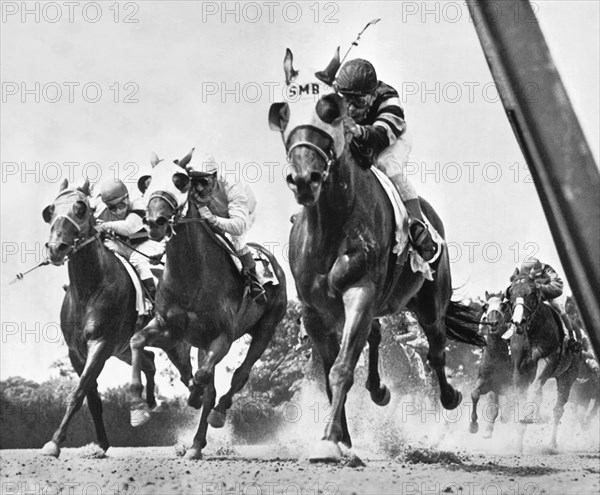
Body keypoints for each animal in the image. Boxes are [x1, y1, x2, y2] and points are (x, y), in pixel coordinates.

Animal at [41, 180, 192, 460]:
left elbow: (78, 392)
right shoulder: (76, 352)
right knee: (149, 360)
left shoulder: (100, 344)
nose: (56, 248)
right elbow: (92, 399)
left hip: (176, 347)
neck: (89, 289)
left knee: (190, 379)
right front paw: (101, 444)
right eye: (50, 210)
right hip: (123, 350)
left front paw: (54, 442)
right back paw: (148, 405)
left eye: (80, 208)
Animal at [127, 152, 288, 462]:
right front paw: (138, 405)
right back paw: (195, 444)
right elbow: (137, 340)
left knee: (240, 375)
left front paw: (196, 397)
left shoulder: (222, 336)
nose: (155, 222)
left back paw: (216, 415)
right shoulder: (169, 328)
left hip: (266, 329)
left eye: (180, 180)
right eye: (147, 182)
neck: (191, 273)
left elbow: (203, 377)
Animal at [270, 48, 486, 464]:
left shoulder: (360, 291)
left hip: (429, 301)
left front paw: (329, 441)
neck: (331, 224)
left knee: (436, 349)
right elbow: (330, 373)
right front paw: (341, 438)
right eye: (282, 111)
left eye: (331, 108)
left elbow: (341, 369)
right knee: (376, 333)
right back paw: (379, 389)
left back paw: (449, 396)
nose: (304, 179)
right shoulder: (314, 311)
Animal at [468, 290, 510, 438]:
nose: (493, 323)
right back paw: (488, 430)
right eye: (485, 306)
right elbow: (475, 394)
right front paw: (473, 426)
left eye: (503, 305)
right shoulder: (487, 382)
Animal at [506, 270, 580, 452]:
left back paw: (552, 445)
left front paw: (528, 417)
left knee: (558, 409)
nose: (518, 322)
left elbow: (535, 389)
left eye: (532, 293)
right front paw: (518, 443)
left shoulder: (547, 361)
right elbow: (521, 395)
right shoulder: (518, 370)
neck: (531, 332)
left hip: (567, 377)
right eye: (511, 292)